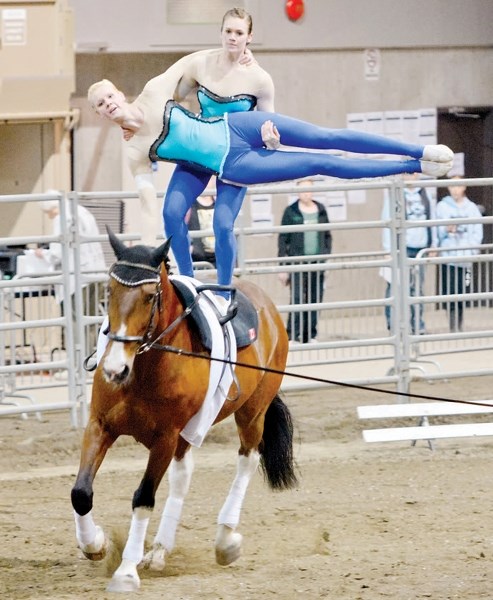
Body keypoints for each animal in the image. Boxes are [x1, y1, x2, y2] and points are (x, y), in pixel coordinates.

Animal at [70, 227, 296, 592]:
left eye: (150, 296)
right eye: (109, 289)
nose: (115, 370)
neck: (145, 367)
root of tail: (265, 303)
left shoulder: (164, 438)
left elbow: (143, 499)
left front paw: (126, 571)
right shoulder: (100, 426)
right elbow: (81, 492)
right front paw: (95, 545)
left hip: (251, 413)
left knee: (247, 460)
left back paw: (225, 540)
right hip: (188, 433)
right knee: (182, 476)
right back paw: (160, 550)